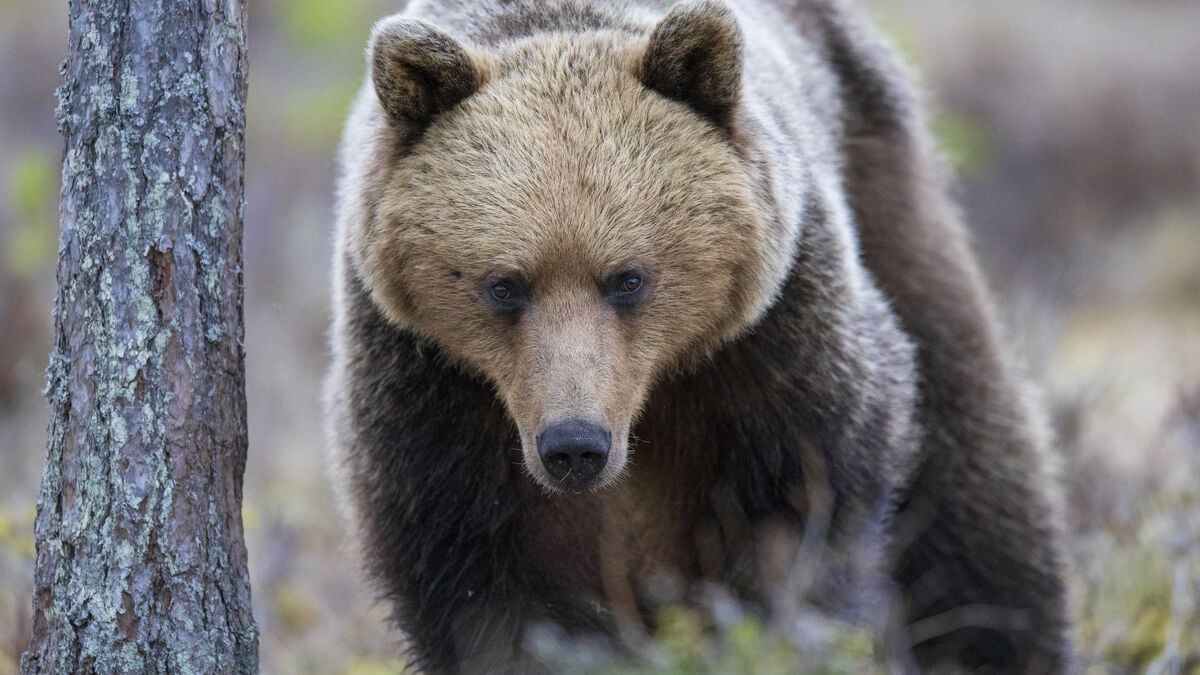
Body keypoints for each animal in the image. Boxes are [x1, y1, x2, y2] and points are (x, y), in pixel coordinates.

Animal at [324, 0, 1072, 672]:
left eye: (627, 278)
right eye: (504, 284)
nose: (575, 445)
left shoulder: (774, 347)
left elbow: (801, 518)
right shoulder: (433, 393)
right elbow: (482, 588)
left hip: (886, 184)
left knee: (974, 464)